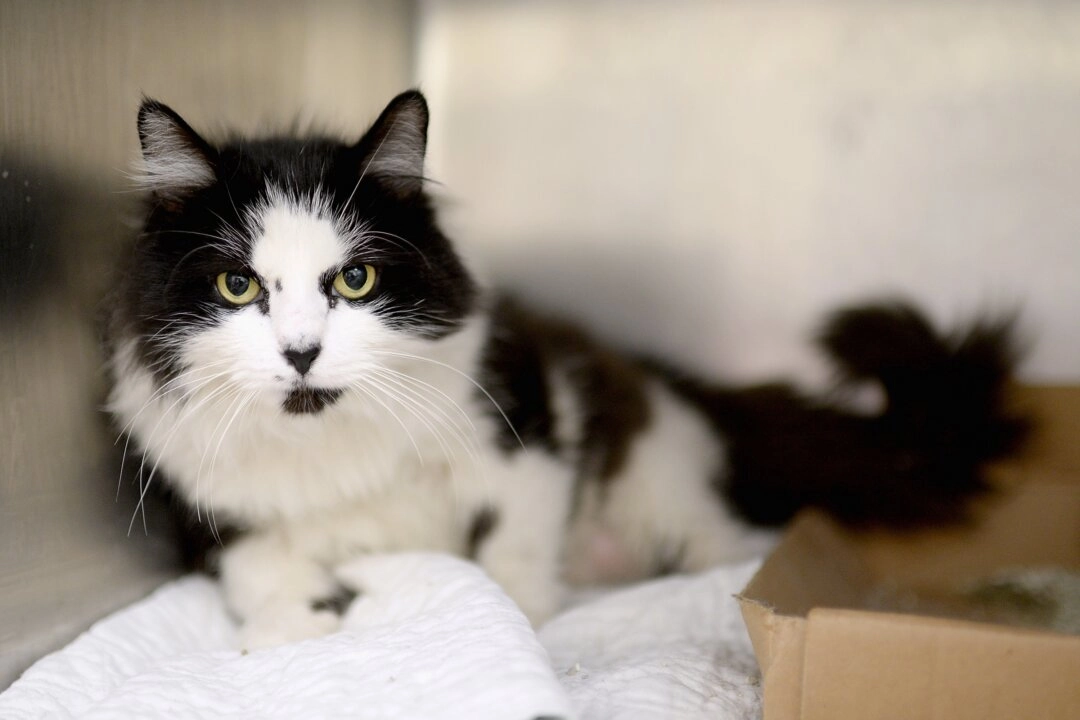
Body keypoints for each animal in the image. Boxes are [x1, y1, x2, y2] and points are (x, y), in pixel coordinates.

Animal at [107, 88, 1028, 647]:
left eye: (355, 280)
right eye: (238, 285)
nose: (301, 353)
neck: (334, 448)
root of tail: (670, 378)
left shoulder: (526, 433)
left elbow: (509, 549)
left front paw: (519, 618)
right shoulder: (212, 515)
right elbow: (258, 570)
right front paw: (296, 629)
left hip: (662, 483)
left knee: (723, 541)